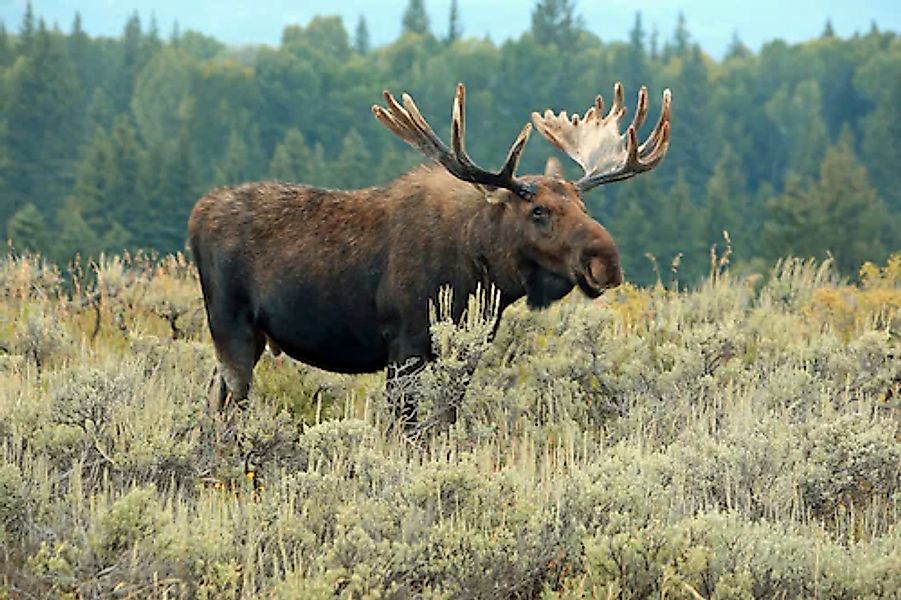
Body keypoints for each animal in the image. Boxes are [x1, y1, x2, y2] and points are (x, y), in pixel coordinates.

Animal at [190, 82, 668, 428]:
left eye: (583, 205)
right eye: (539, 211)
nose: (606, 262)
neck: (484, 273)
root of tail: (197, 215)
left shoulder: (466, 349)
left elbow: (443, 422)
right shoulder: (406, 344)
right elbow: (408, 429)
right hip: (230, 325)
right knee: (229, 402)